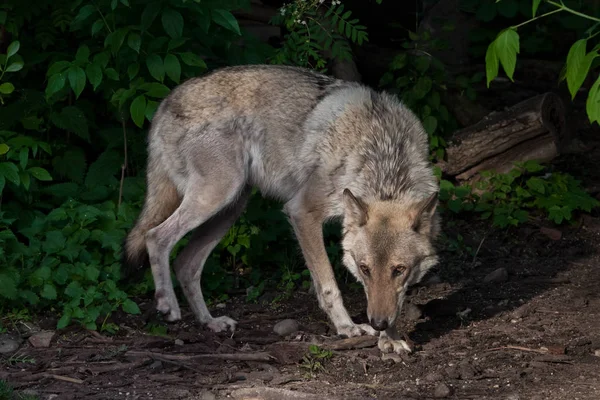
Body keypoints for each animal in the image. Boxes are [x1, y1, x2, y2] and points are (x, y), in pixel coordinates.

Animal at [123, 65, 440, 354]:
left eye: (399, 270)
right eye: (365, 269)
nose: (378, 323)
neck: (382, 152)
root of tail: (166, 101)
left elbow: (393, 300)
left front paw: (391, 339)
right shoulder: (302, 212)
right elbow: (329, 285)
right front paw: (347, 327)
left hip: (230, 208)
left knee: (186, 264)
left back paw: (210, 322)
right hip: (215, 197)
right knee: (155, 236)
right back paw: (167, 305)